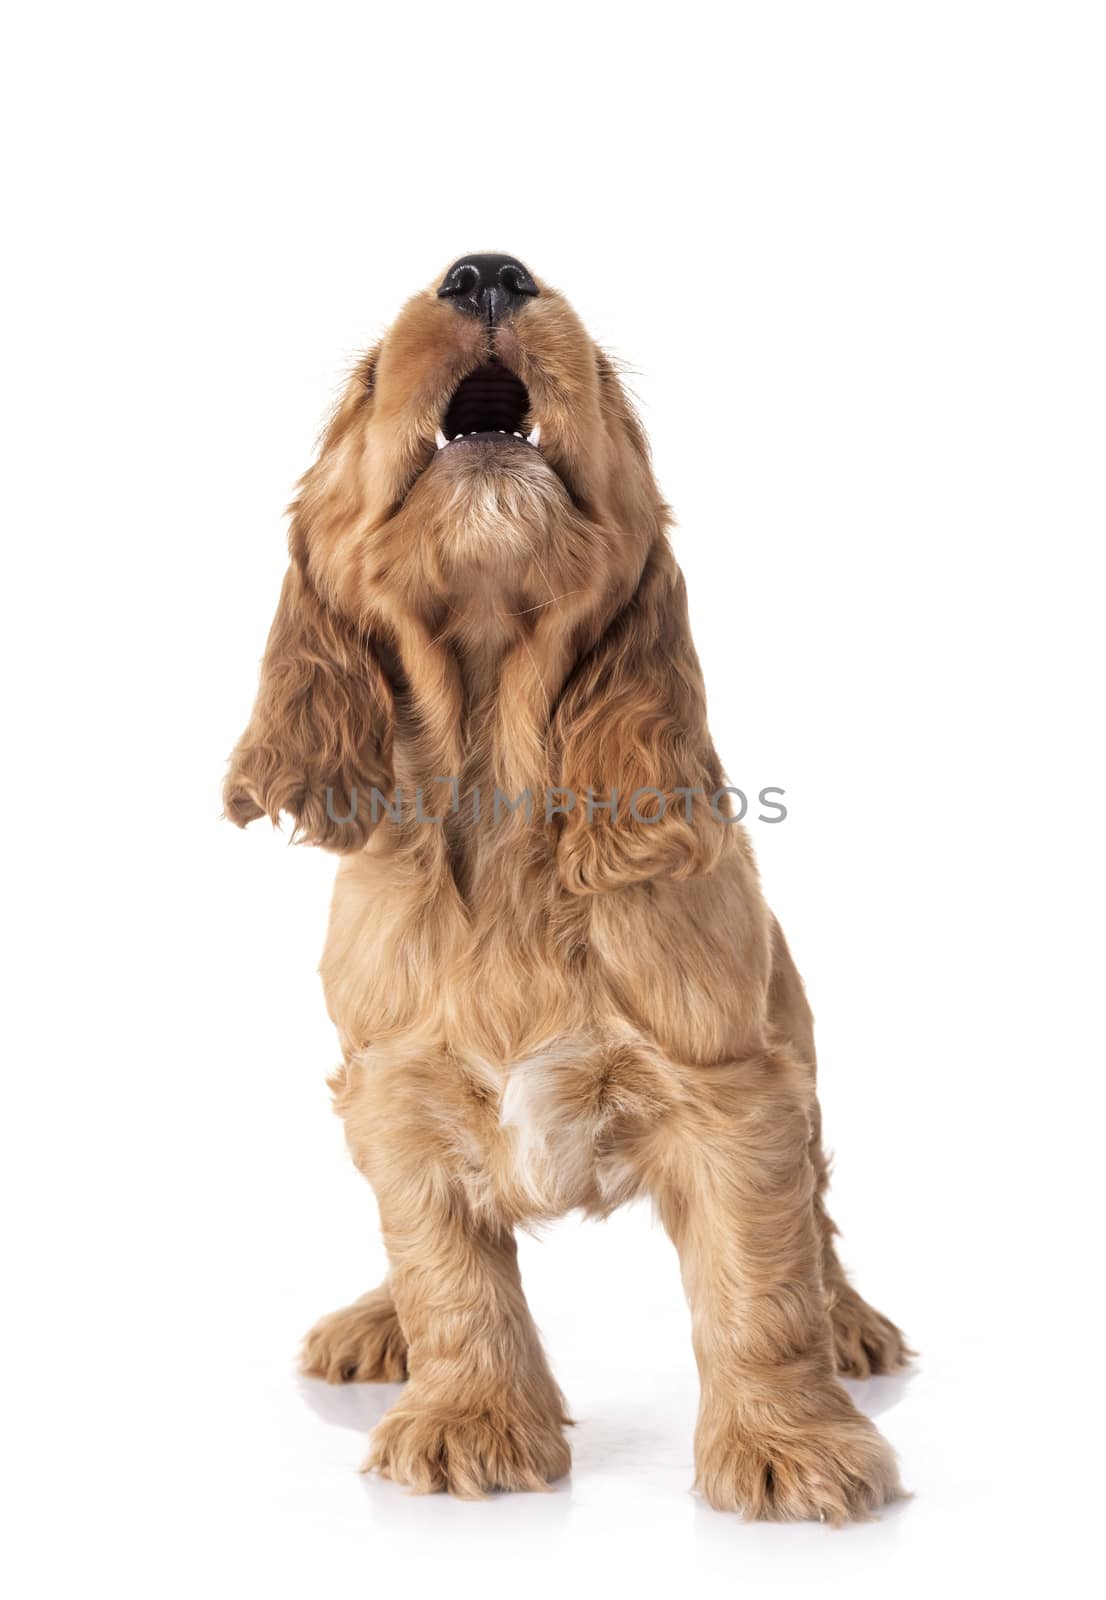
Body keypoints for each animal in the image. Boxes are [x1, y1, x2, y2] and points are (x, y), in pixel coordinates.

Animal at [222, 252, 909, 1523]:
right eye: (362, 382)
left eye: (610, 389)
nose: (486, 270)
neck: (500, 807)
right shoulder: (390, 1090)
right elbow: (442, 1265)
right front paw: (466, 1415)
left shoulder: (737, 1094)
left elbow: (760, 1284)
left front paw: (790, 1442)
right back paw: (375, 1322)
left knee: (815, 1220)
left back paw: (848, 1319)